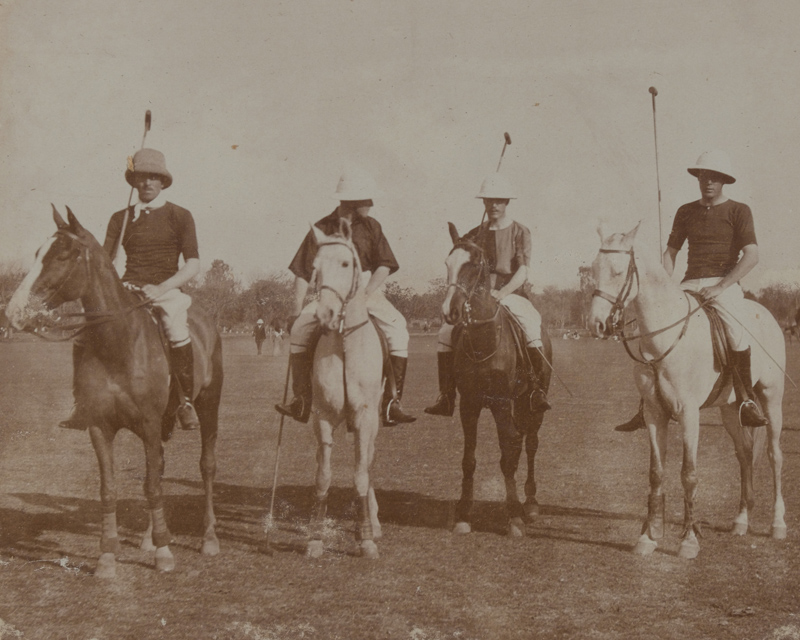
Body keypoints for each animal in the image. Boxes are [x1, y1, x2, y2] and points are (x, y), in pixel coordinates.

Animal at [4, 208, 223, 576]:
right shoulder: (100, 426)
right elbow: (110, 489)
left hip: (208, 406)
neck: (118, 343)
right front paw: (107, 556)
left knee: (205, 466)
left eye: (63, 254)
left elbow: (151, 487)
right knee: (159, 467)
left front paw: (164, 553)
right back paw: (150, 537)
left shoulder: (149, 423)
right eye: (36, 252)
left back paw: (208, 538)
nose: (14, 312)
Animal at [588, 224, 788, 560]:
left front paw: (689, 540)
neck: (663, 338)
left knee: (775, 455)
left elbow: (689, 473)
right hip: (729, 408)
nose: (595, 324)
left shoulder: (689, 414)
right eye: (593, 270)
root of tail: (766, 313)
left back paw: (778, 524)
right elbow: (656, 472)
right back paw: (741, 520)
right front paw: (649, 536)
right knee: (745, 453)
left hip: (773, 398)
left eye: (617, 271)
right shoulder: (655, 413)